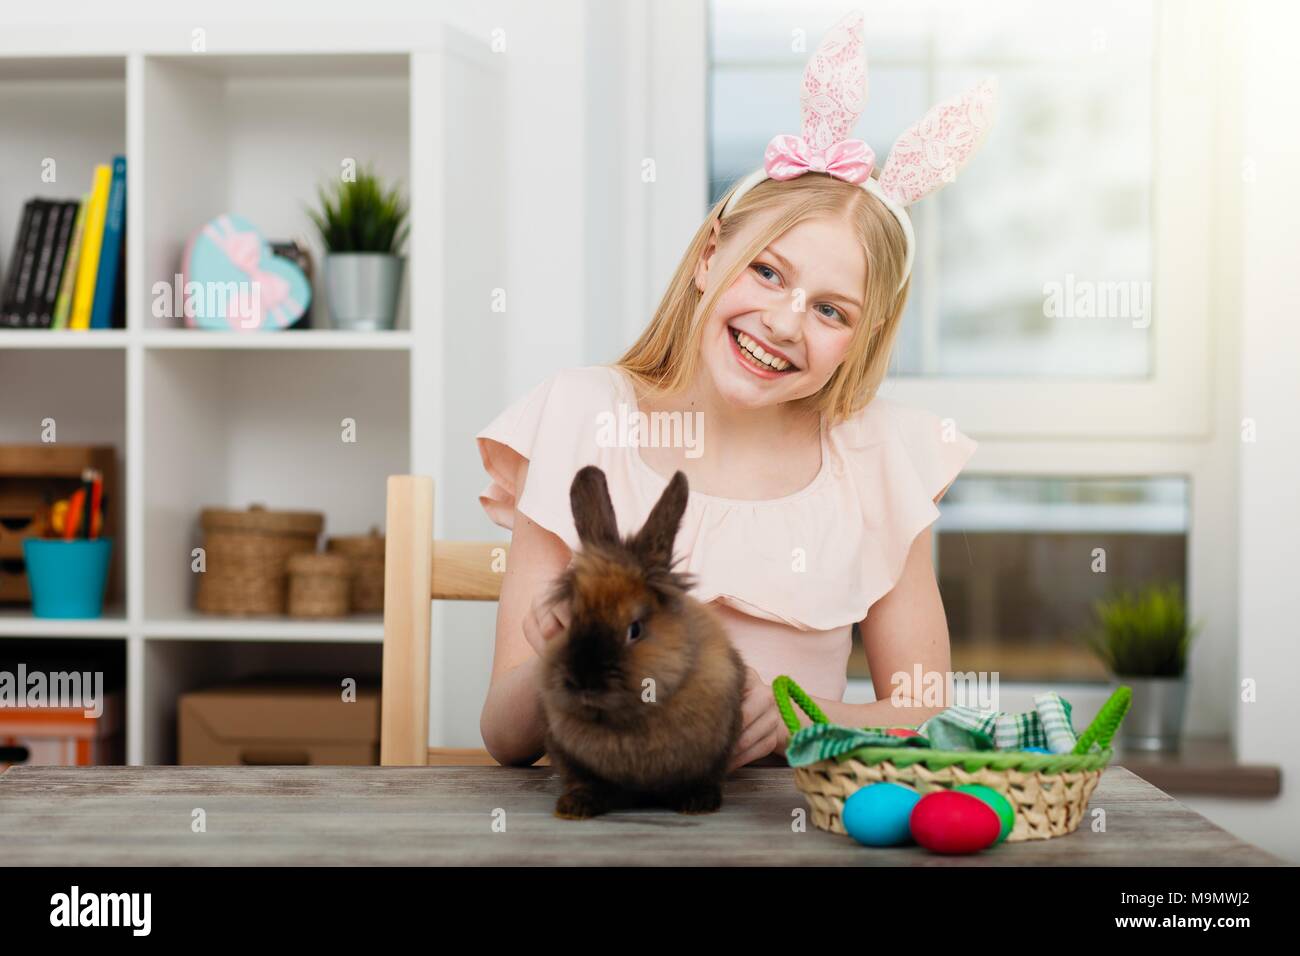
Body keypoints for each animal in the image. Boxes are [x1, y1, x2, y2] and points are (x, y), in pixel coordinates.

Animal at [535, 465, 743, 822]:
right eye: (571, 618)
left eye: (634, 630)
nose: (584, 681)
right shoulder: (570, 758)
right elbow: (585, 782)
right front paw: (573, 807)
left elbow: (704, 777)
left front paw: (697, 803)